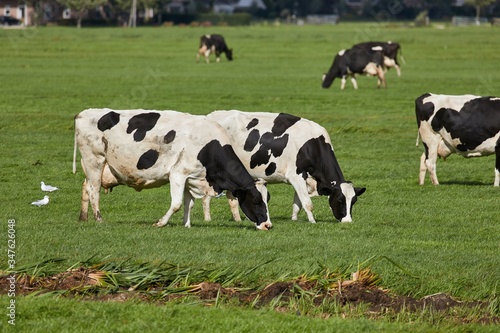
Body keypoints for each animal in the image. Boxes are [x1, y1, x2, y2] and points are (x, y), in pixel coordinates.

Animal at [72, 107, 272, 230]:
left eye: (267, 198)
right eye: (256, 200)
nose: (268, 225)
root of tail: (84, 113)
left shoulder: (191, 177)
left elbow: (189, 203)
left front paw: (187, 224)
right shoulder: (177, 173)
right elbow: (176, 203)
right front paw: (160, 222)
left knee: (85, 187)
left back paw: (83, 217)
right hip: (94, 160)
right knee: (94, 189)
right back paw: (99, 219)